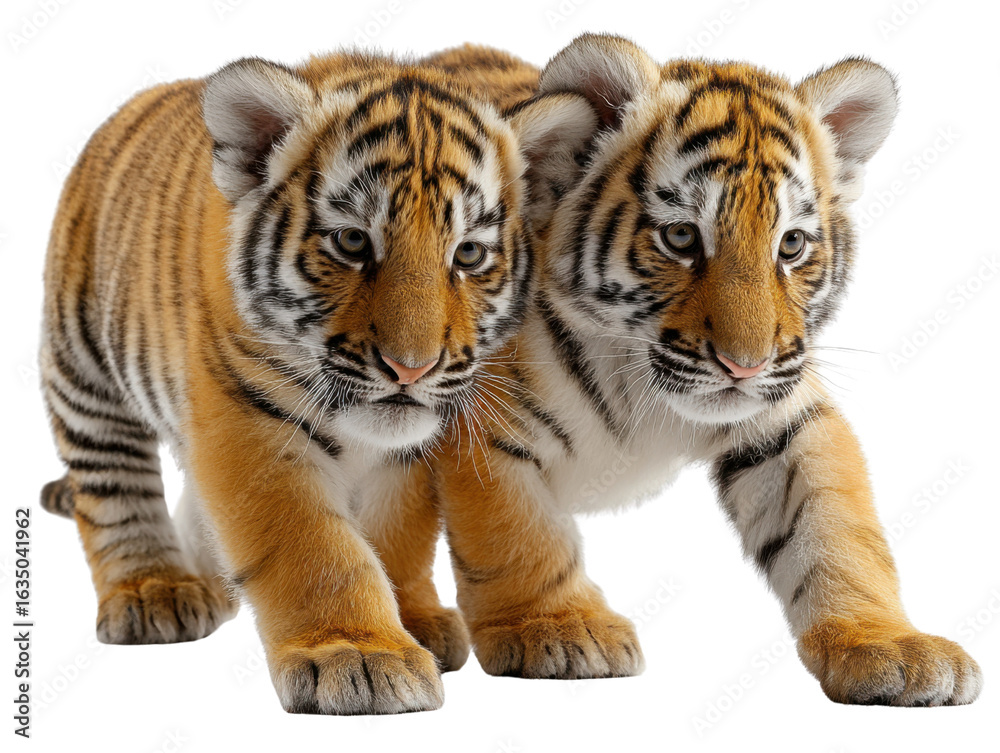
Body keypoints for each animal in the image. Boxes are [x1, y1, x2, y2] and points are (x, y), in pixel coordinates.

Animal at [37, 45, 597, 715]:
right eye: (352, 241)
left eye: (468, 254)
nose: (412, 368)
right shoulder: (250, 425)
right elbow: (318, 548)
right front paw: (358, 655)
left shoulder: (408, 452)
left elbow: (395, 533)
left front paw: (415, 622)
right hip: (82, 364)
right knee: (113, 483)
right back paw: (156, 590)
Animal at [432, 34, 983, 706]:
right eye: (681, 238)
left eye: (791, 245)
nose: (745, 365)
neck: (637, 388)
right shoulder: (475, 415)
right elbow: (516, 532)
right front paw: (557, 629)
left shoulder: (787, 418)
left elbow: (836, 530)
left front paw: (888, 647)